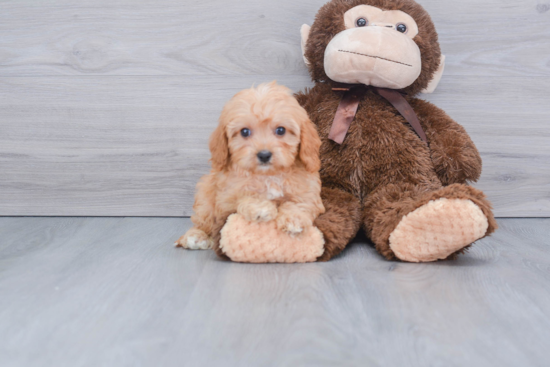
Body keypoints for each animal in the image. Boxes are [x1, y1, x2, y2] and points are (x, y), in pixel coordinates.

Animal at [175, 82, 326, 252]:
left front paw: (294, 219)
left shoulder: (308, 193)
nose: (264, 155)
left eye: (281, 130)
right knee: (203, 221)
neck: (268, 175)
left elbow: (299, 203)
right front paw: (260, 207)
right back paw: (196, 236)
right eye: (245, 132)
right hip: (205, 195)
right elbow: (243, 198)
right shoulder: (226, 201)